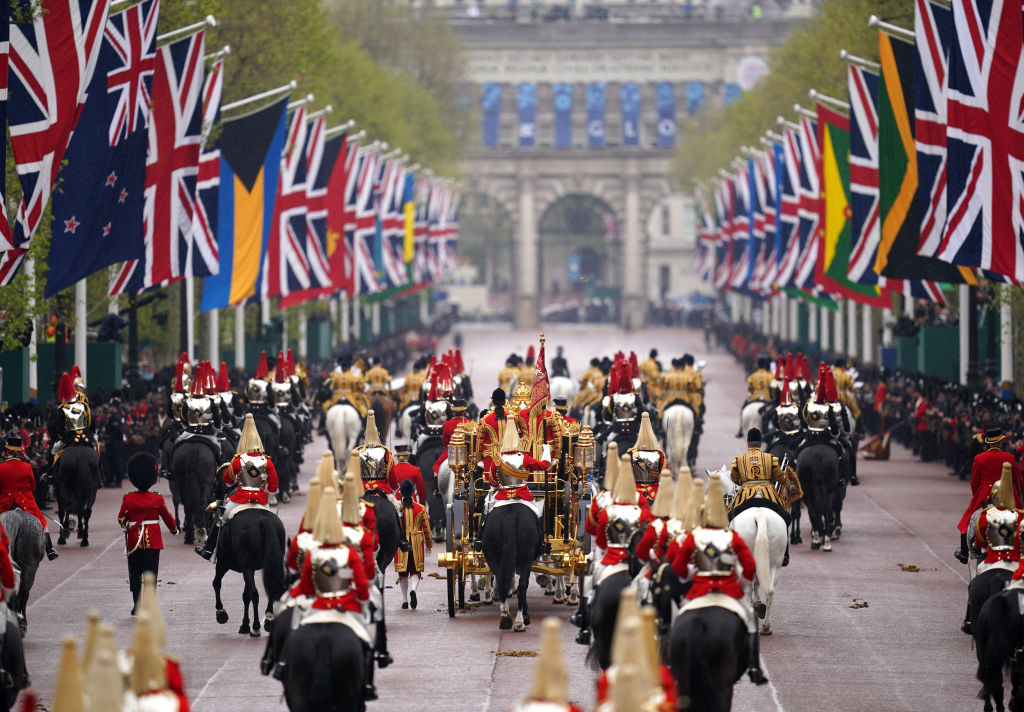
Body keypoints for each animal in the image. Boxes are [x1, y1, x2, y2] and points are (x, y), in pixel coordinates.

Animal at [210, 510, 284, 639]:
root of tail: (264, 520)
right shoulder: (250, 569)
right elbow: (245, 596)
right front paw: (244, 625)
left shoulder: (223, 564)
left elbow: (216, 583)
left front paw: (221, 612)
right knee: (270, 587)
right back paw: (269, 619)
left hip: (242, 567)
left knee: (254, 593)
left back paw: (256, 627)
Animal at [708, 467, 786, 635]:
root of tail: (760, 515)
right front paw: (760, 605)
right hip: (775, 563)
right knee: (769, 591)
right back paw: (766, 626)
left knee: (749, 589)